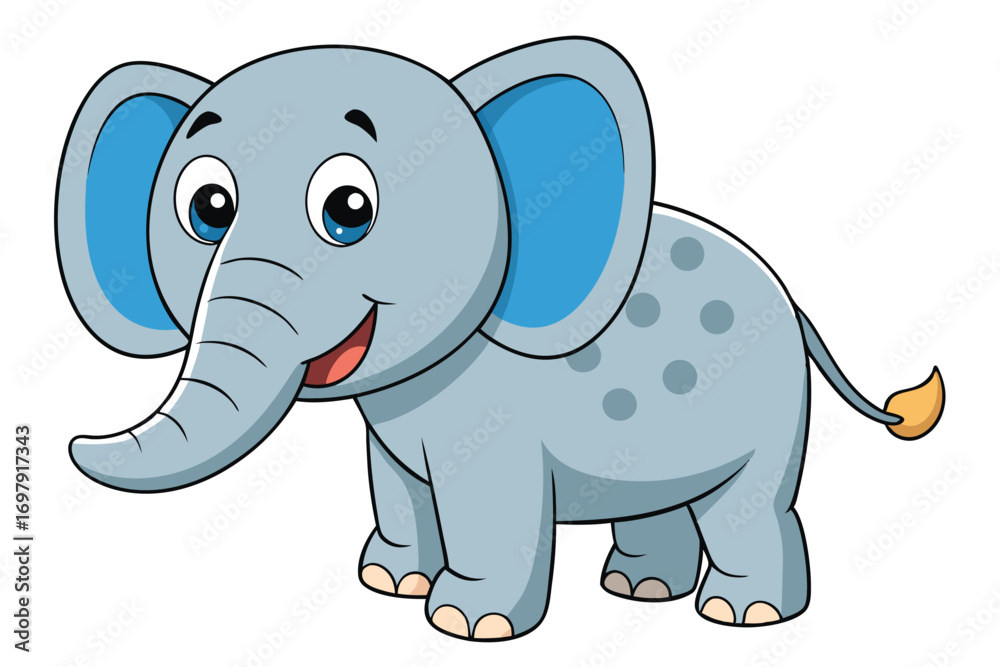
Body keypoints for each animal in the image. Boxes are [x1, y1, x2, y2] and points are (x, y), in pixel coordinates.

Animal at [57, 37, 945, 640]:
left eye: (348, 208)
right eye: (207, 207)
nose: (68, 443)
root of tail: (793, 301)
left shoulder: (495, 422)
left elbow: (490, 504)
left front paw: (465, 623)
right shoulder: (392, 429)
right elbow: (398, 486)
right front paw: (388, 581)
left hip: (769, 408)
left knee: (750, 502)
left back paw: (743, 611)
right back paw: (639, 592)